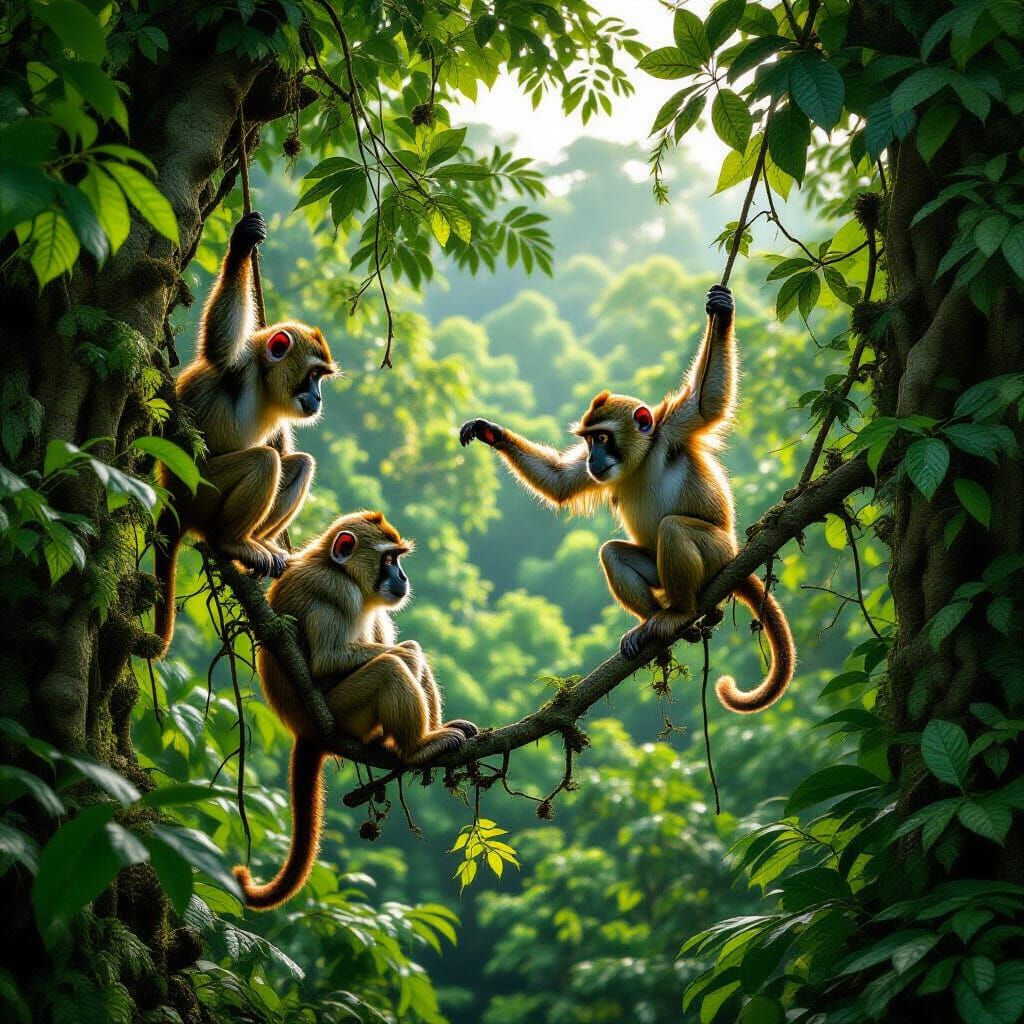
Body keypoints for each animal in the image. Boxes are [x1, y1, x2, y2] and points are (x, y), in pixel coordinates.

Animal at [153, 211, 337, 655]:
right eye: (313, 376)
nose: (317, 398)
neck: (265, 385)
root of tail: (174, 500)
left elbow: (286, 450)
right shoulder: (237, 368)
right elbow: (220, 346)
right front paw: (242, 244)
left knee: (297, 463)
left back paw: (254, 547)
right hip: (199, 492)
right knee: (263, 461)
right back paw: (232, 542)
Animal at [233, 510, 479, 909]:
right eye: (389, 559)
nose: (402, 577)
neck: (341, 570)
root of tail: (307, 730)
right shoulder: (338, 590)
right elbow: (327, 661)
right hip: (344, 713)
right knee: (392, 665)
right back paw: (417, 747)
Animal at [460, 284, 795, 714]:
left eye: (602, 437)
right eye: (589, 442)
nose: (593, 458)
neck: (642, 457)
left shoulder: (671, 431)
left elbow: (707, 402)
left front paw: (722, 309)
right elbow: (561, 483)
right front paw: (490, 432)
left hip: (719, 553)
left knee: (673, 528)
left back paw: (680, 613)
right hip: (659, 572)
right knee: (614, 553)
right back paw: (657, 622)